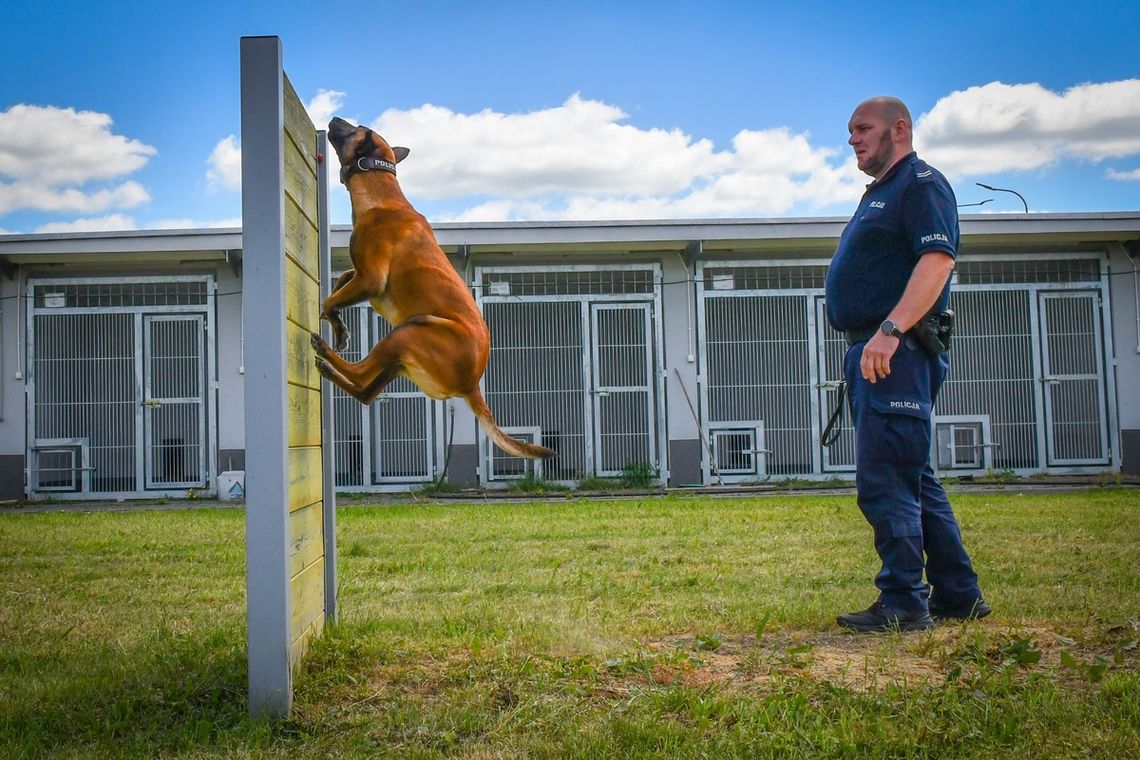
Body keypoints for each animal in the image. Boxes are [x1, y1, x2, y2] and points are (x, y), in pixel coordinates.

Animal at [312, 119, 556, 460]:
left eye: (355, 128)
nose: (334, 119)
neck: (381, 194)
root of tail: (472, 384)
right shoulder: (362, 275)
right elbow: (342, 279)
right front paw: (340, 328)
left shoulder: (371, 279)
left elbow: (328, 299)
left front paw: (334, 323)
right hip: (400, 359)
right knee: (367, 393)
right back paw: (332, 368)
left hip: (410, 331)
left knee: (361, 374)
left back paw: (326, 352)